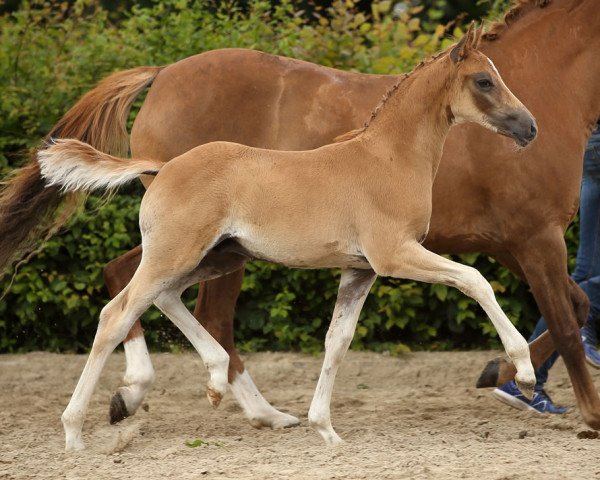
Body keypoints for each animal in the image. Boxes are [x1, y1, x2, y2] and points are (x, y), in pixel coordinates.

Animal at [0, 0, 596, 428]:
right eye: (484, 80)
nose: (529, 128)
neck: (386, 155)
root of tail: (162, 163)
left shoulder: (363, 268)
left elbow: (337, 341)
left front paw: (324, 424)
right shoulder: (423, 251)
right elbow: (495, 289)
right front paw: (530, 379)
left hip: (211, 256)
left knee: (162, 299)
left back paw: (220, 393)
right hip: (182, 254)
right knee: (125, 310)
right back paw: (88, 423)